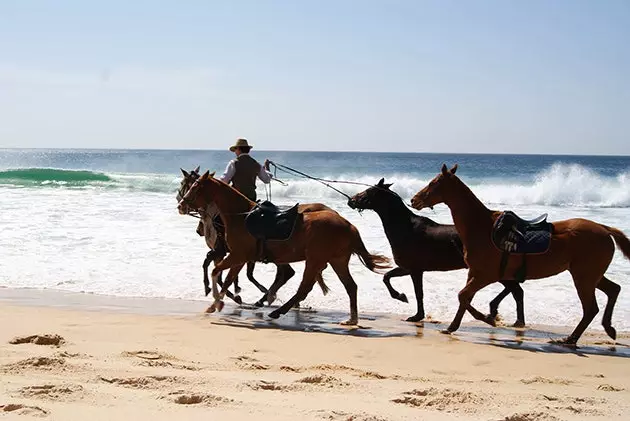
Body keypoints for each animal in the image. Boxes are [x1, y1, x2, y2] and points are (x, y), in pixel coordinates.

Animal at [178, 169, 392, 324]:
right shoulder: (239, 258)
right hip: (336, 260)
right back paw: (351, 319)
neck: (240, 216)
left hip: (315, 260)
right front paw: (218, 302)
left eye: (195, 186)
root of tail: (348, 225)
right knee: (350, 286)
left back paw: (278, 310)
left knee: (304, 286)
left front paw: (217, 301)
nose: (181, 205)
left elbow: (216, 272)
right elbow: (227, 278)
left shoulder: (236, 256)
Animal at [348, 179, 524, 326]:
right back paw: (499, 314)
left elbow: (418, 293)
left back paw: (511, 319)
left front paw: (416, 314)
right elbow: (386, 277)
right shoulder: (407, 268)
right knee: (514, 290)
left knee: (516, 291)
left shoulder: (415, 270)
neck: (406, 227)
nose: (351, 201)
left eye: (369, 191)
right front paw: (401, 297)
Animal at [412, 164, 628, 344]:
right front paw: (457, 325)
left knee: (591, 308)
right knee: (613, 290)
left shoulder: (485, 275)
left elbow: (463, 295)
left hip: (583, 277)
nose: (414, 200)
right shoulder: (474, 273)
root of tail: (604, 228)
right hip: (590, 275)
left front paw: (486, 318)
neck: (482, 227)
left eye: (434, 182)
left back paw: (571, 339)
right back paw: (608, 329)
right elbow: (465, 298)